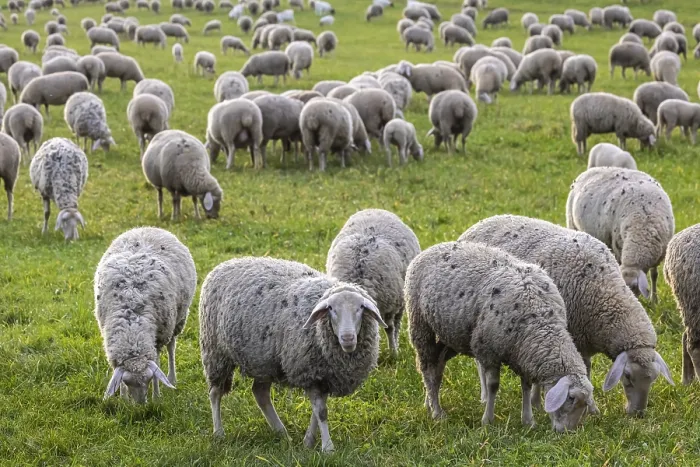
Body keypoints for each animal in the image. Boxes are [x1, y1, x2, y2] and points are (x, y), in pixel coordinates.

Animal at [199, 256, 384, 452]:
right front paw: (327, 447)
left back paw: (281, 433)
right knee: (215, 393)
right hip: (216, 353)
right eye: (331, 309)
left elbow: (317, 411)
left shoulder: (322, 375)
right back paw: (219, 432)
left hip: (264, 361)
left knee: (260, 393)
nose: (347, 338)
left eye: (361, 308)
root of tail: (228, 262)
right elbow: (321, 412)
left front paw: (308, 442)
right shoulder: (309, 371)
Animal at [459, 215, 674, 415]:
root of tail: (479, 223)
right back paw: (484, 396)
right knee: (480, 363)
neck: (604, 291)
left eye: (654, 378)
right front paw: (589, 408)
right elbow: (583, 371)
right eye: (627, 376)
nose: (638, 413)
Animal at [567, 167, 674, 302]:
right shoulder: (617, 248)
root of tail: (589, 170)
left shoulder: (659, 253)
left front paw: (654, 300)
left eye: (634, 286)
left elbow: (654, 275)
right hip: (572, 224)